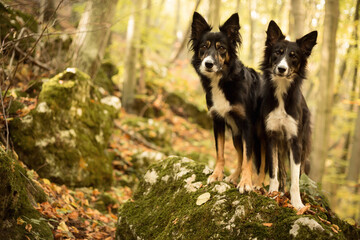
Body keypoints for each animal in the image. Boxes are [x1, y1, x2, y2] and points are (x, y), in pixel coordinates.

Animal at [188, 12, 262, 193]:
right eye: (204, 47)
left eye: (221, 48)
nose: (208, 64)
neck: (222, 80)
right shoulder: (218, 121)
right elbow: (220, 153)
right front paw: (217, 175)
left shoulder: (247, 125)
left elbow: (248, 158)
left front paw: (246, 182)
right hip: (236, 134)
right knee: (240, 156)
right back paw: (234, 177)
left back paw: (258, 183)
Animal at [260, 20, 316, 208]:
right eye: (277, 52)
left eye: (293, 56)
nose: (281, 69)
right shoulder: (271, 136)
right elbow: (274, 172)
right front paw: (272, 194)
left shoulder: (295, 141)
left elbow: (296, 179)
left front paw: (297, 203)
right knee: (282, 173)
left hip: (304, 145)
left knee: (299, 173)